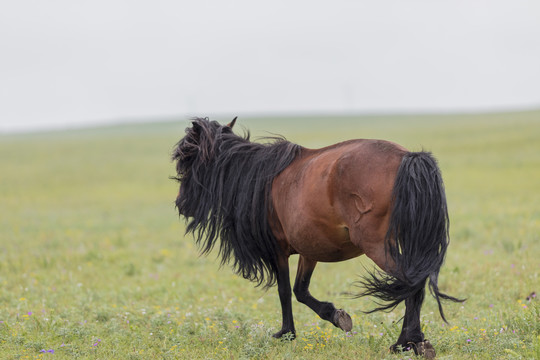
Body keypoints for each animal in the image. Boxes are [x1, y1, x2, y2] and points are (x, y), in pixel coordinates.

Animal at [171, 116, 462, 356]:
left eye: (187, 157)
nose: (181, 205)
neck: (257, 179)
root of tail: (407, 157)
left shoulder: (278, 249)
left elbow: (284, 291)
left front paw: (287, 333)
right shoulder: (308, 250)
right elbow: (300, 290)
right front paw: (335, 315)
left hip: (377, 246)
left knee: (410, 284)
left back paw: (406, 343)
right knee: (415, 285)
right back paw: (413, 342)